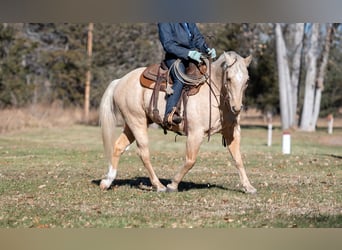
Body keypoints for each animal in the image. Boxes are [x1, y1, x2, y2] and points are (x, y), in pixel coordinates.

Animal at [99, 51, 256, 193]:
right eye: (228, 78)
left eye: (247, 81)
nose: (236, 108)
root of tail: (120, 81)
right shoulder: (195, 134)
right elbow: (190, 160)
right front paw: (172, 185)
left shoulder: (231, 132)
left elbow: (238, 159)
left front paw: (249, 187)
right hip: (137, 122)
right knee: (143, 153)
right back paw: (159, 186)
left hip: (132, 124)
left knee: (118, 146)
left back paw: (107, 181)